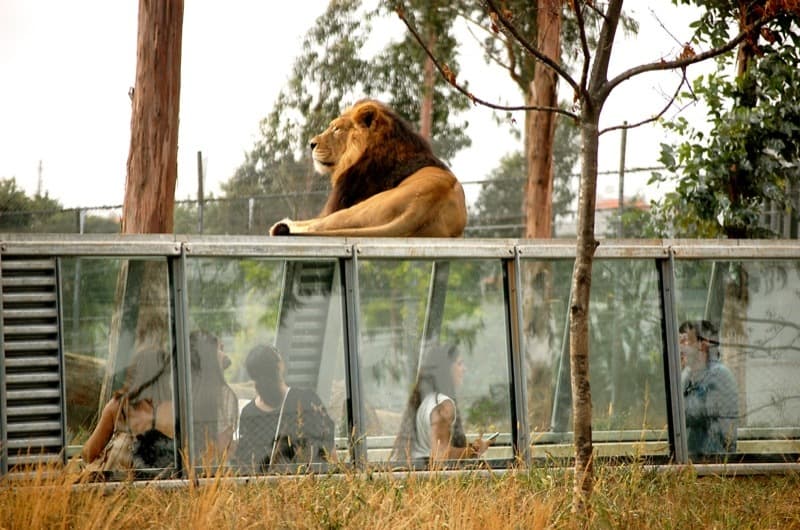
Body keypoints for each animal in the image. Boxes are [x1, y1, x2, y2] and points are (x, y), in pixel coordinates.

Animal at [270, 98, 468, 237]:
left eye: (336, 129)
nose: (311, 144)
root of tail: (425, 206)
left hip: (357, 209)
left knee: (317, 226)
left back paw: (281, 226)